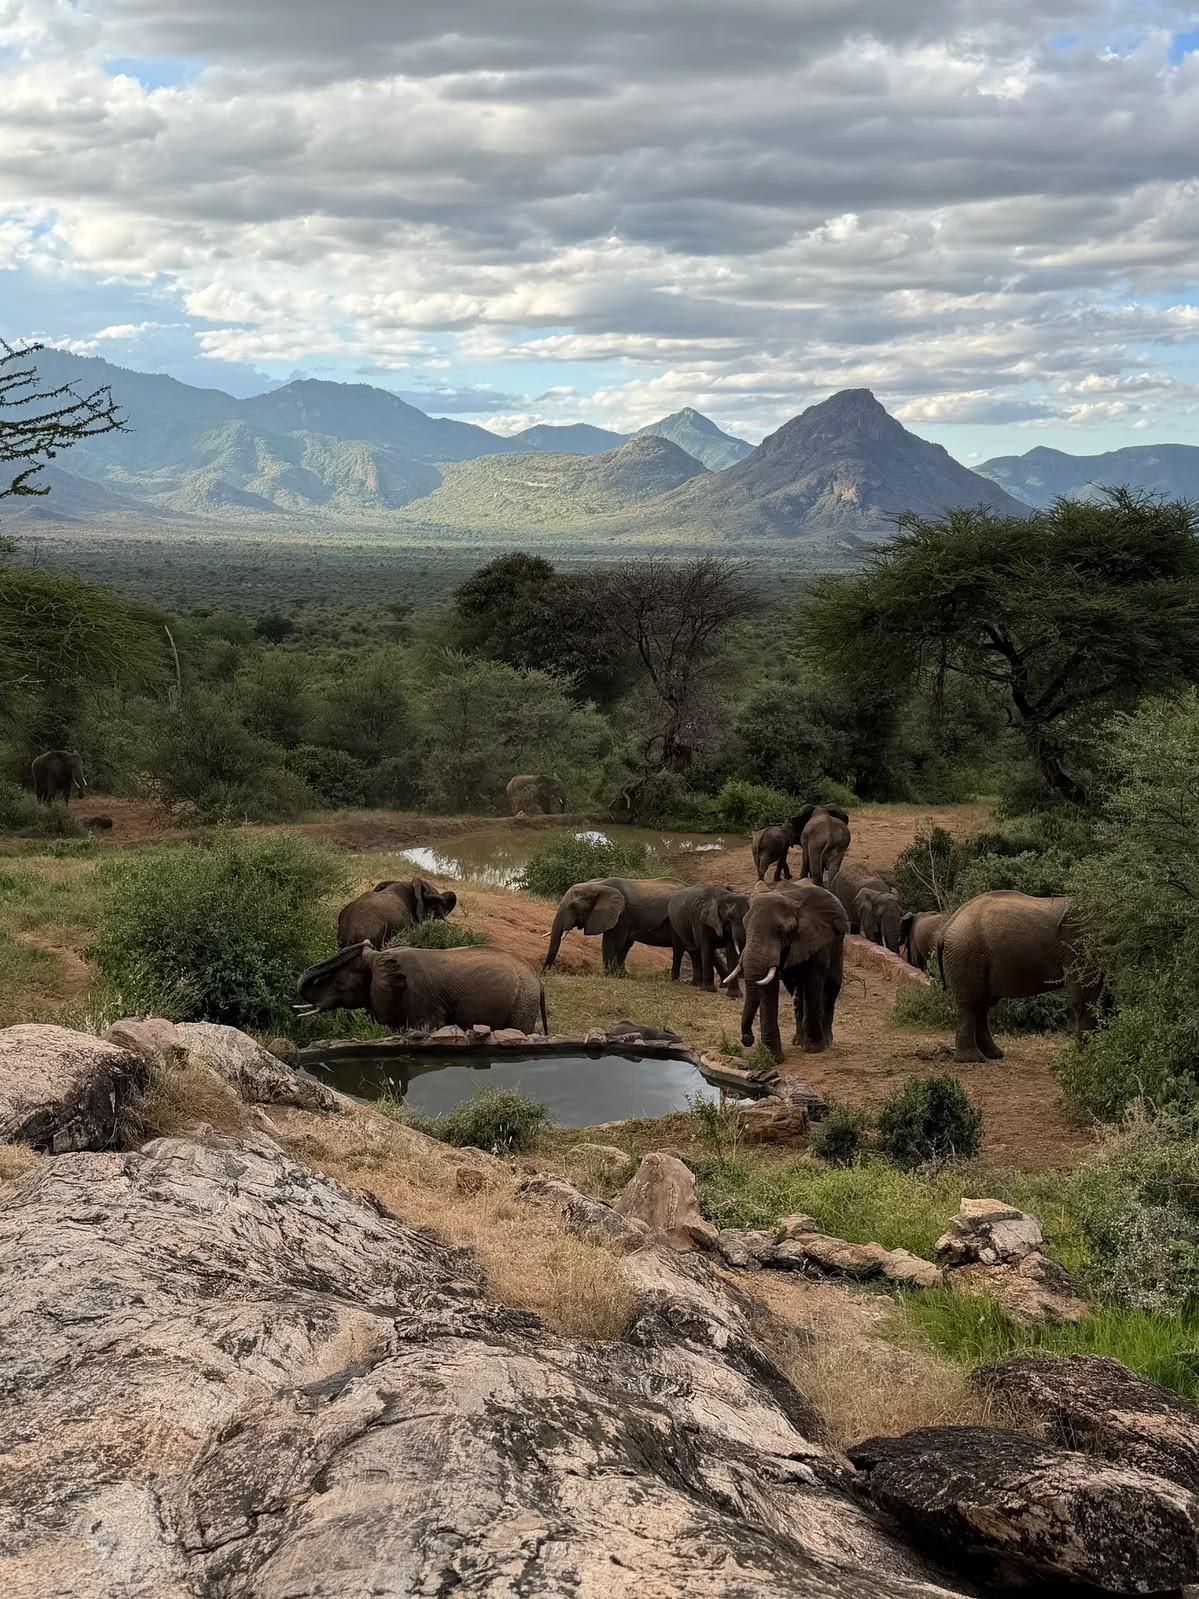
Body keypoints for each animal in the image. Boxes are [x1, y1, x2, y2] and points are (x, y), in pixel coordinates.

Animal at [296, 942, 548, 1033]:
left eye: (340, 983)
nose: (365, 942)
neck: (380, 958)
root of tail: (538, 980)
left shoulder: (421, 1000)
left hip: (522, 1003)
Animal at [543, 877, 681, 975]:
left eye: (574, 906)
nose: (544, 973)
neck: (597, 885)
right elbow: (625, 945)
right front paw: (621, 975)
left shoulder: (622, 915)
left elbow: (612, 942)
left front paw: (610, 975)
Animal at [722, 882, 848, 1063]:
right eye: (745, 926)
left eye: (781, 931)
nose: (747, 1039)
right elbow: (768, 989)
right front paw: (774, 1058)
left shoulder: (815, 940)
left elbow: (813, 984)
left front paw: (813, 1049)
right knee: (796, 993)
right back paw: (798, 1041)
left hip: (838, 945)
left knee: (831, 987)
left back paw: (826, 1041)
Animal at [936, 890, 1101, 1063]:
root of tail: (947, 926)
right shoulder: (1077, 946)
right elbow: (1086, 996)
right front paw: (1084, 1056)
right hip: (967, 954)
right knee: (970, 1003)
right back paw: (973, 1059)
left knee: (982, 1005)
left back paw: (993, 1055)